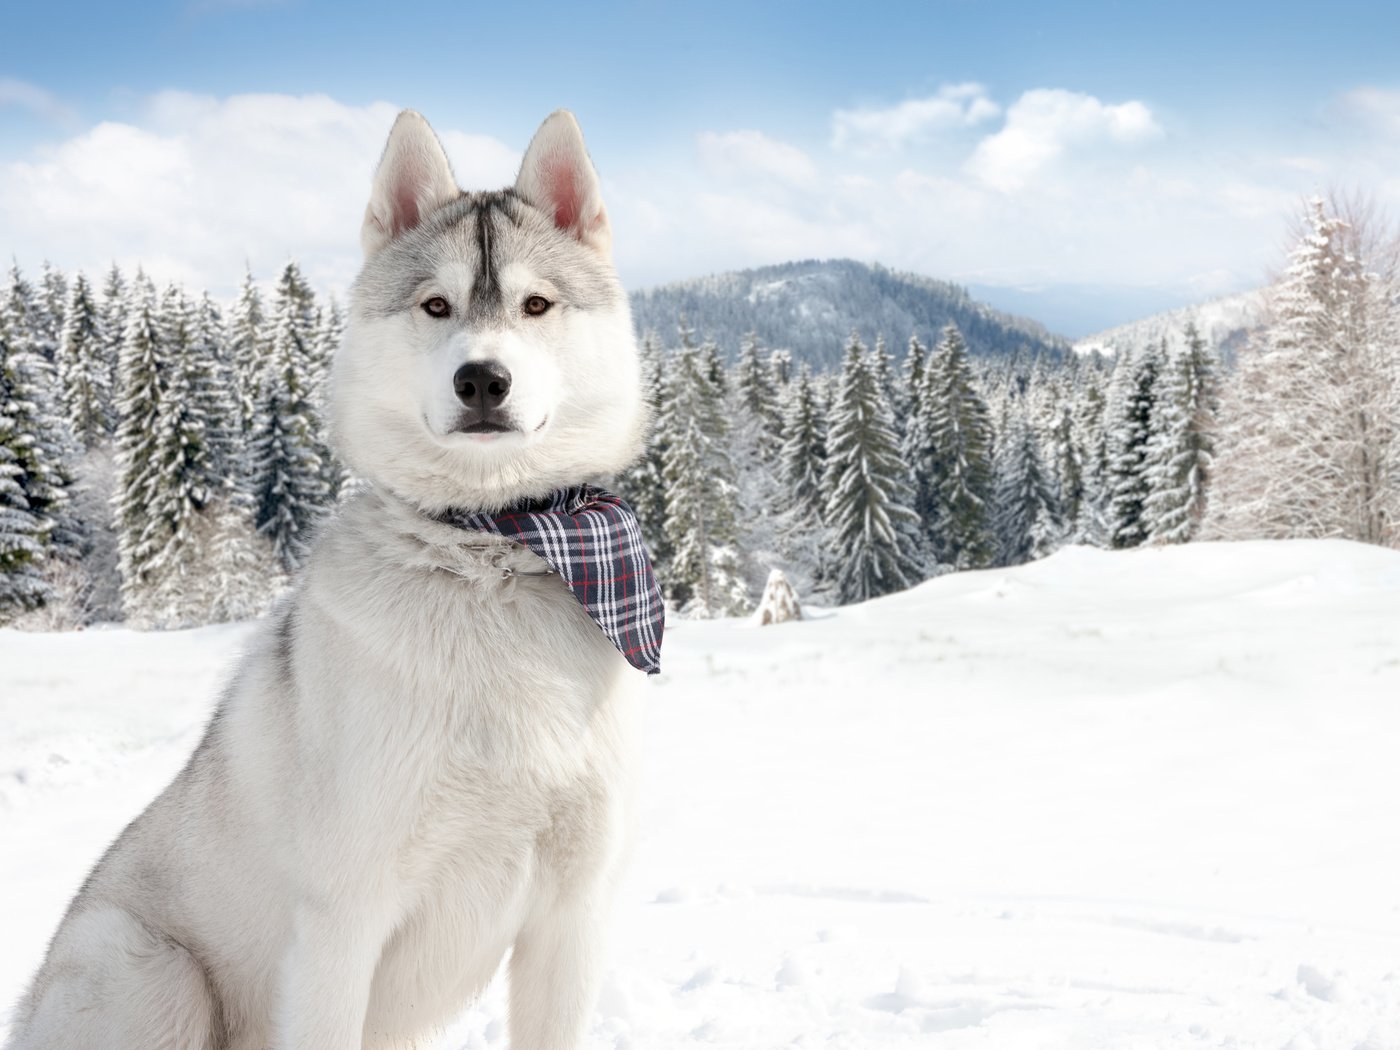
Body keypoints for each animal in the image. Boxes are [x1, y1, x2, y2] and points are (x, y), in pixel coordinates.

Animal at [6, 109, 649, 1050]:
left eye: (537, 305)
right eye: (435, 305)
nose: (482, 379)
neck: (487, 556)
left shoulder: (570, 918)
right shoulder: (343, 924)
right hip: (150, 971)